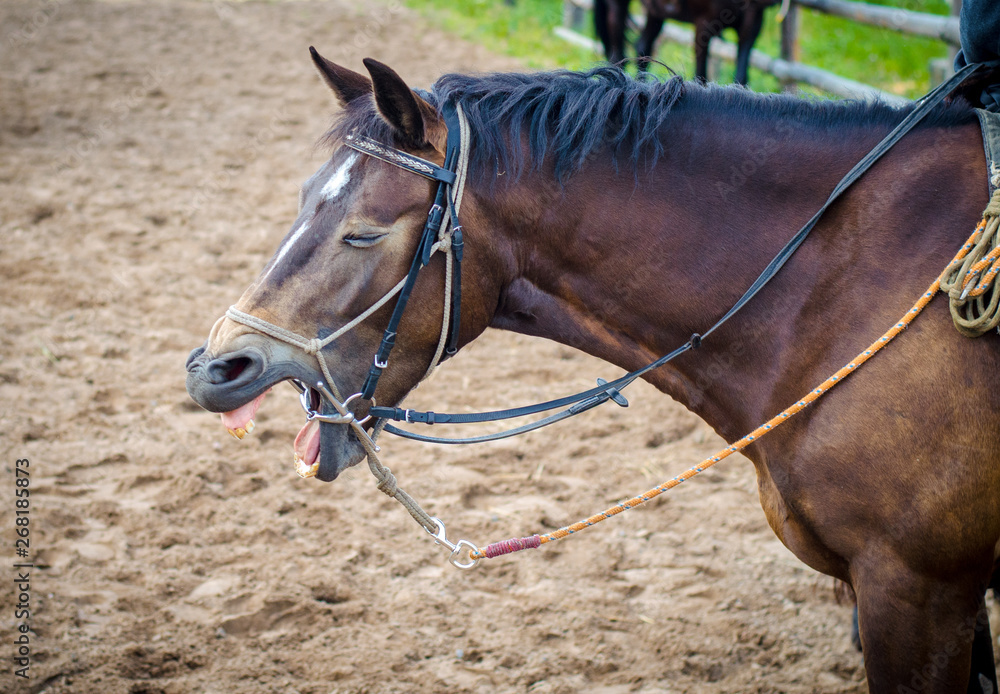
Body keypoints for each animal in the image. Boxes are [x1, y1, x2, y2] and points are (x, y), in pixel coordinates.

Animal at [594, 0, 780, 84]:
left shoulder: (754, 20)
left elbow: (741, 77)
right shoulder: (704, 22)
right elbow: (701, 75)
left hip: (655, 11)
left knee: (642, 47)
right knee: (618, 55)